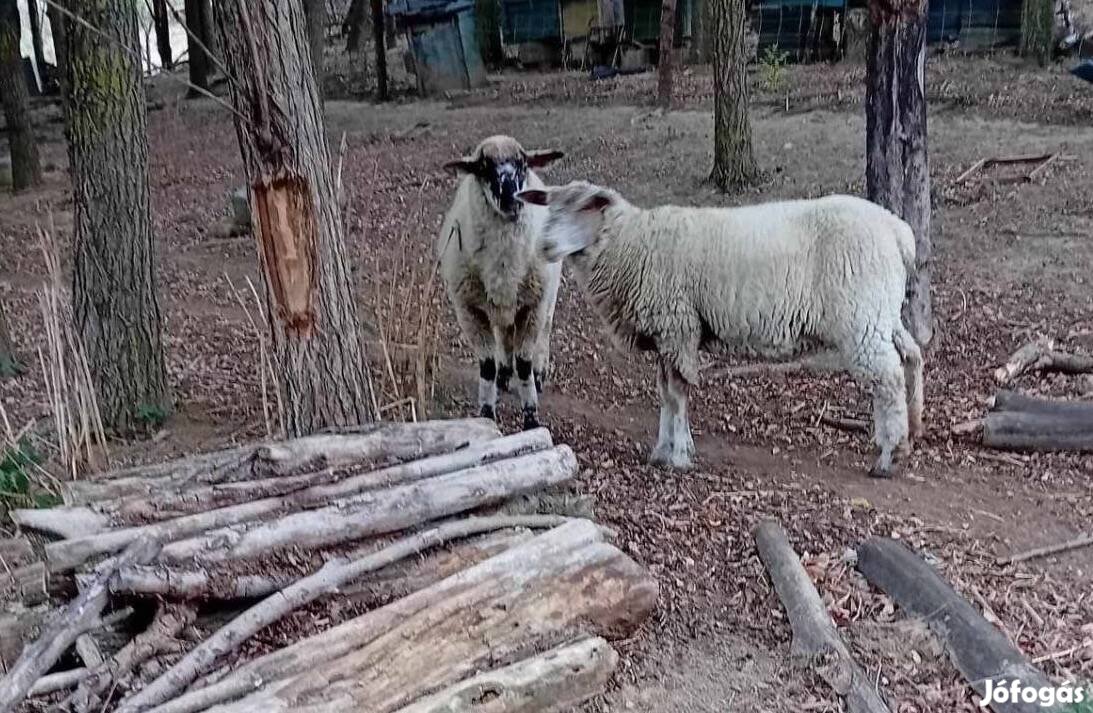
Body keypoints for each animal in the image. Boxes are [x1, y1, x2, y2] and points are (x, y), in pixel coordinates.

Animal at [435, 135, 563, 428]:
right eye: (483, 167)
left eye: (522, 163)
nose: (511, 197)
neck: (505, 268)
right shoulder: (469, 311)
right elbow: (487, 365)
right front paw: (486, 413)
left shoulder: (532, 307)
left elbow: (524, 364)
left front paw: (531, 417)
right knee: (505, 337)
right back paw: (504, 375)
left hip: (548, 295)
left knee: (545, 333)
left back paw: (540, 374)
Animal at [518, 181, 922, 476]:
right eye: (548, 207)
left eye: (583, 208)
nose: (545, 245)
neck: (629, 244)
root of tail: (898, 230)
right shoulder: (668, 334)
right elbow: (665, 393)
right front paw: (662, 450)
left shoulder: (678, 325)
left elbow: (678, 392)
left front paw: (679, 455)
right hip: (880, 313)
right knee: (911, 356)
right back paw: (912, 426)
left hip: (860, 317)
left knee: (887, 378)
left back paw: (890, 455)